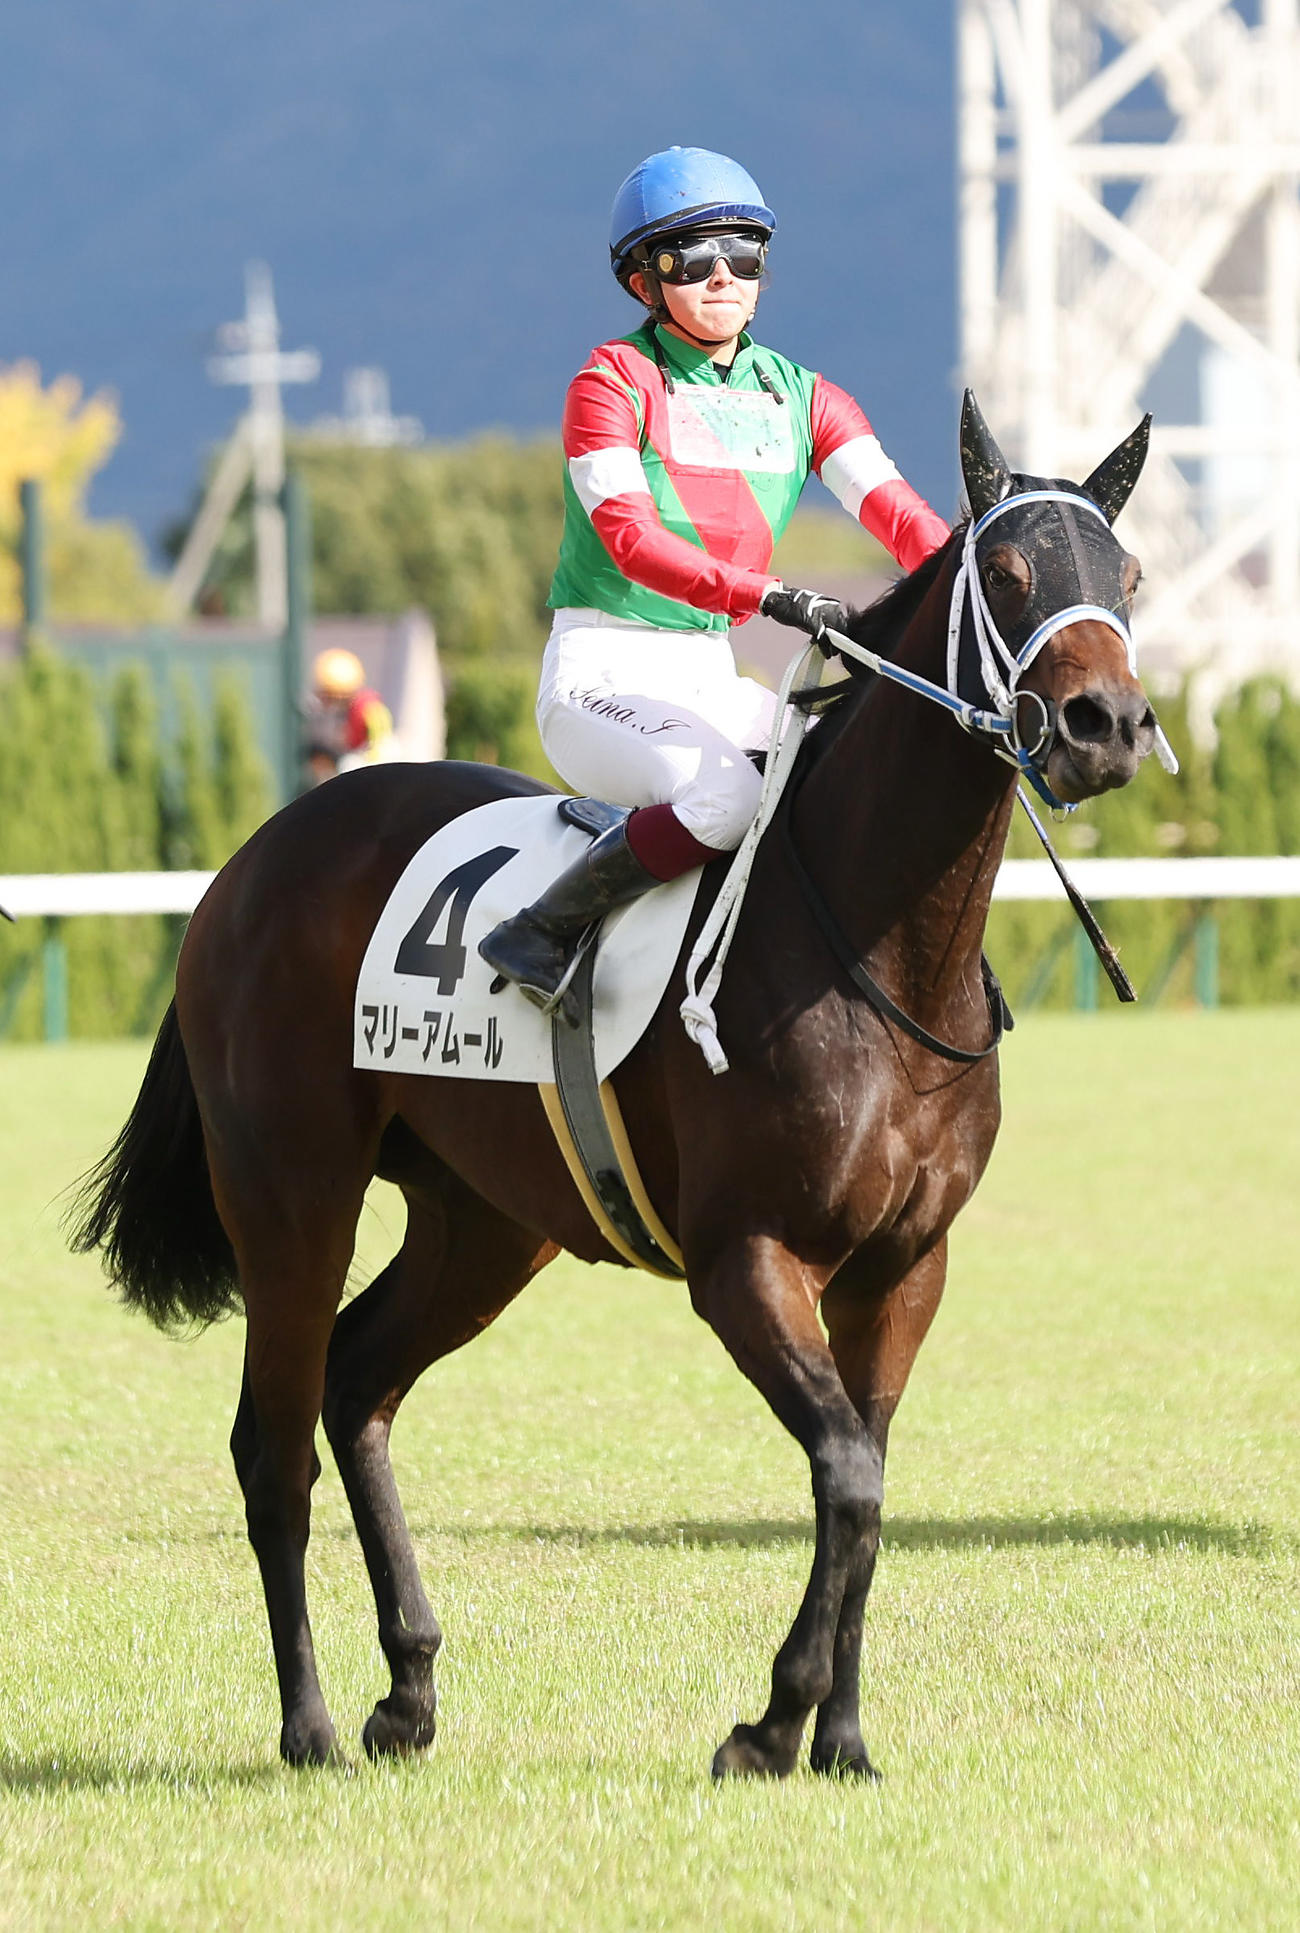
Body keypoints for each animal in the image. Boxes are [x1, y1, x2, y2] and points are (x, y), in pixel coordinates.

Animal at [72, 396, 1158, 1779]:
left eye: (1128, 577)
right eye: (1010, 571)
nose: (1104, 726)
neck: (873, 940)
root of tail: (253, 857)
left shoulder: (904, 1268)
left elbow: (867, 1482)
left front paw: (841, 1739)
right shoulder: (746, 1257)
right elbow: (848, 1473)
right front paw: (771, 1720)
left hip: (485, 1223)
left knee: (358, 1382)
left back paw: (408, 1689)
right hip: (290, 1195)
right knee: (273, 1442)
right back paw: (309, 1724)